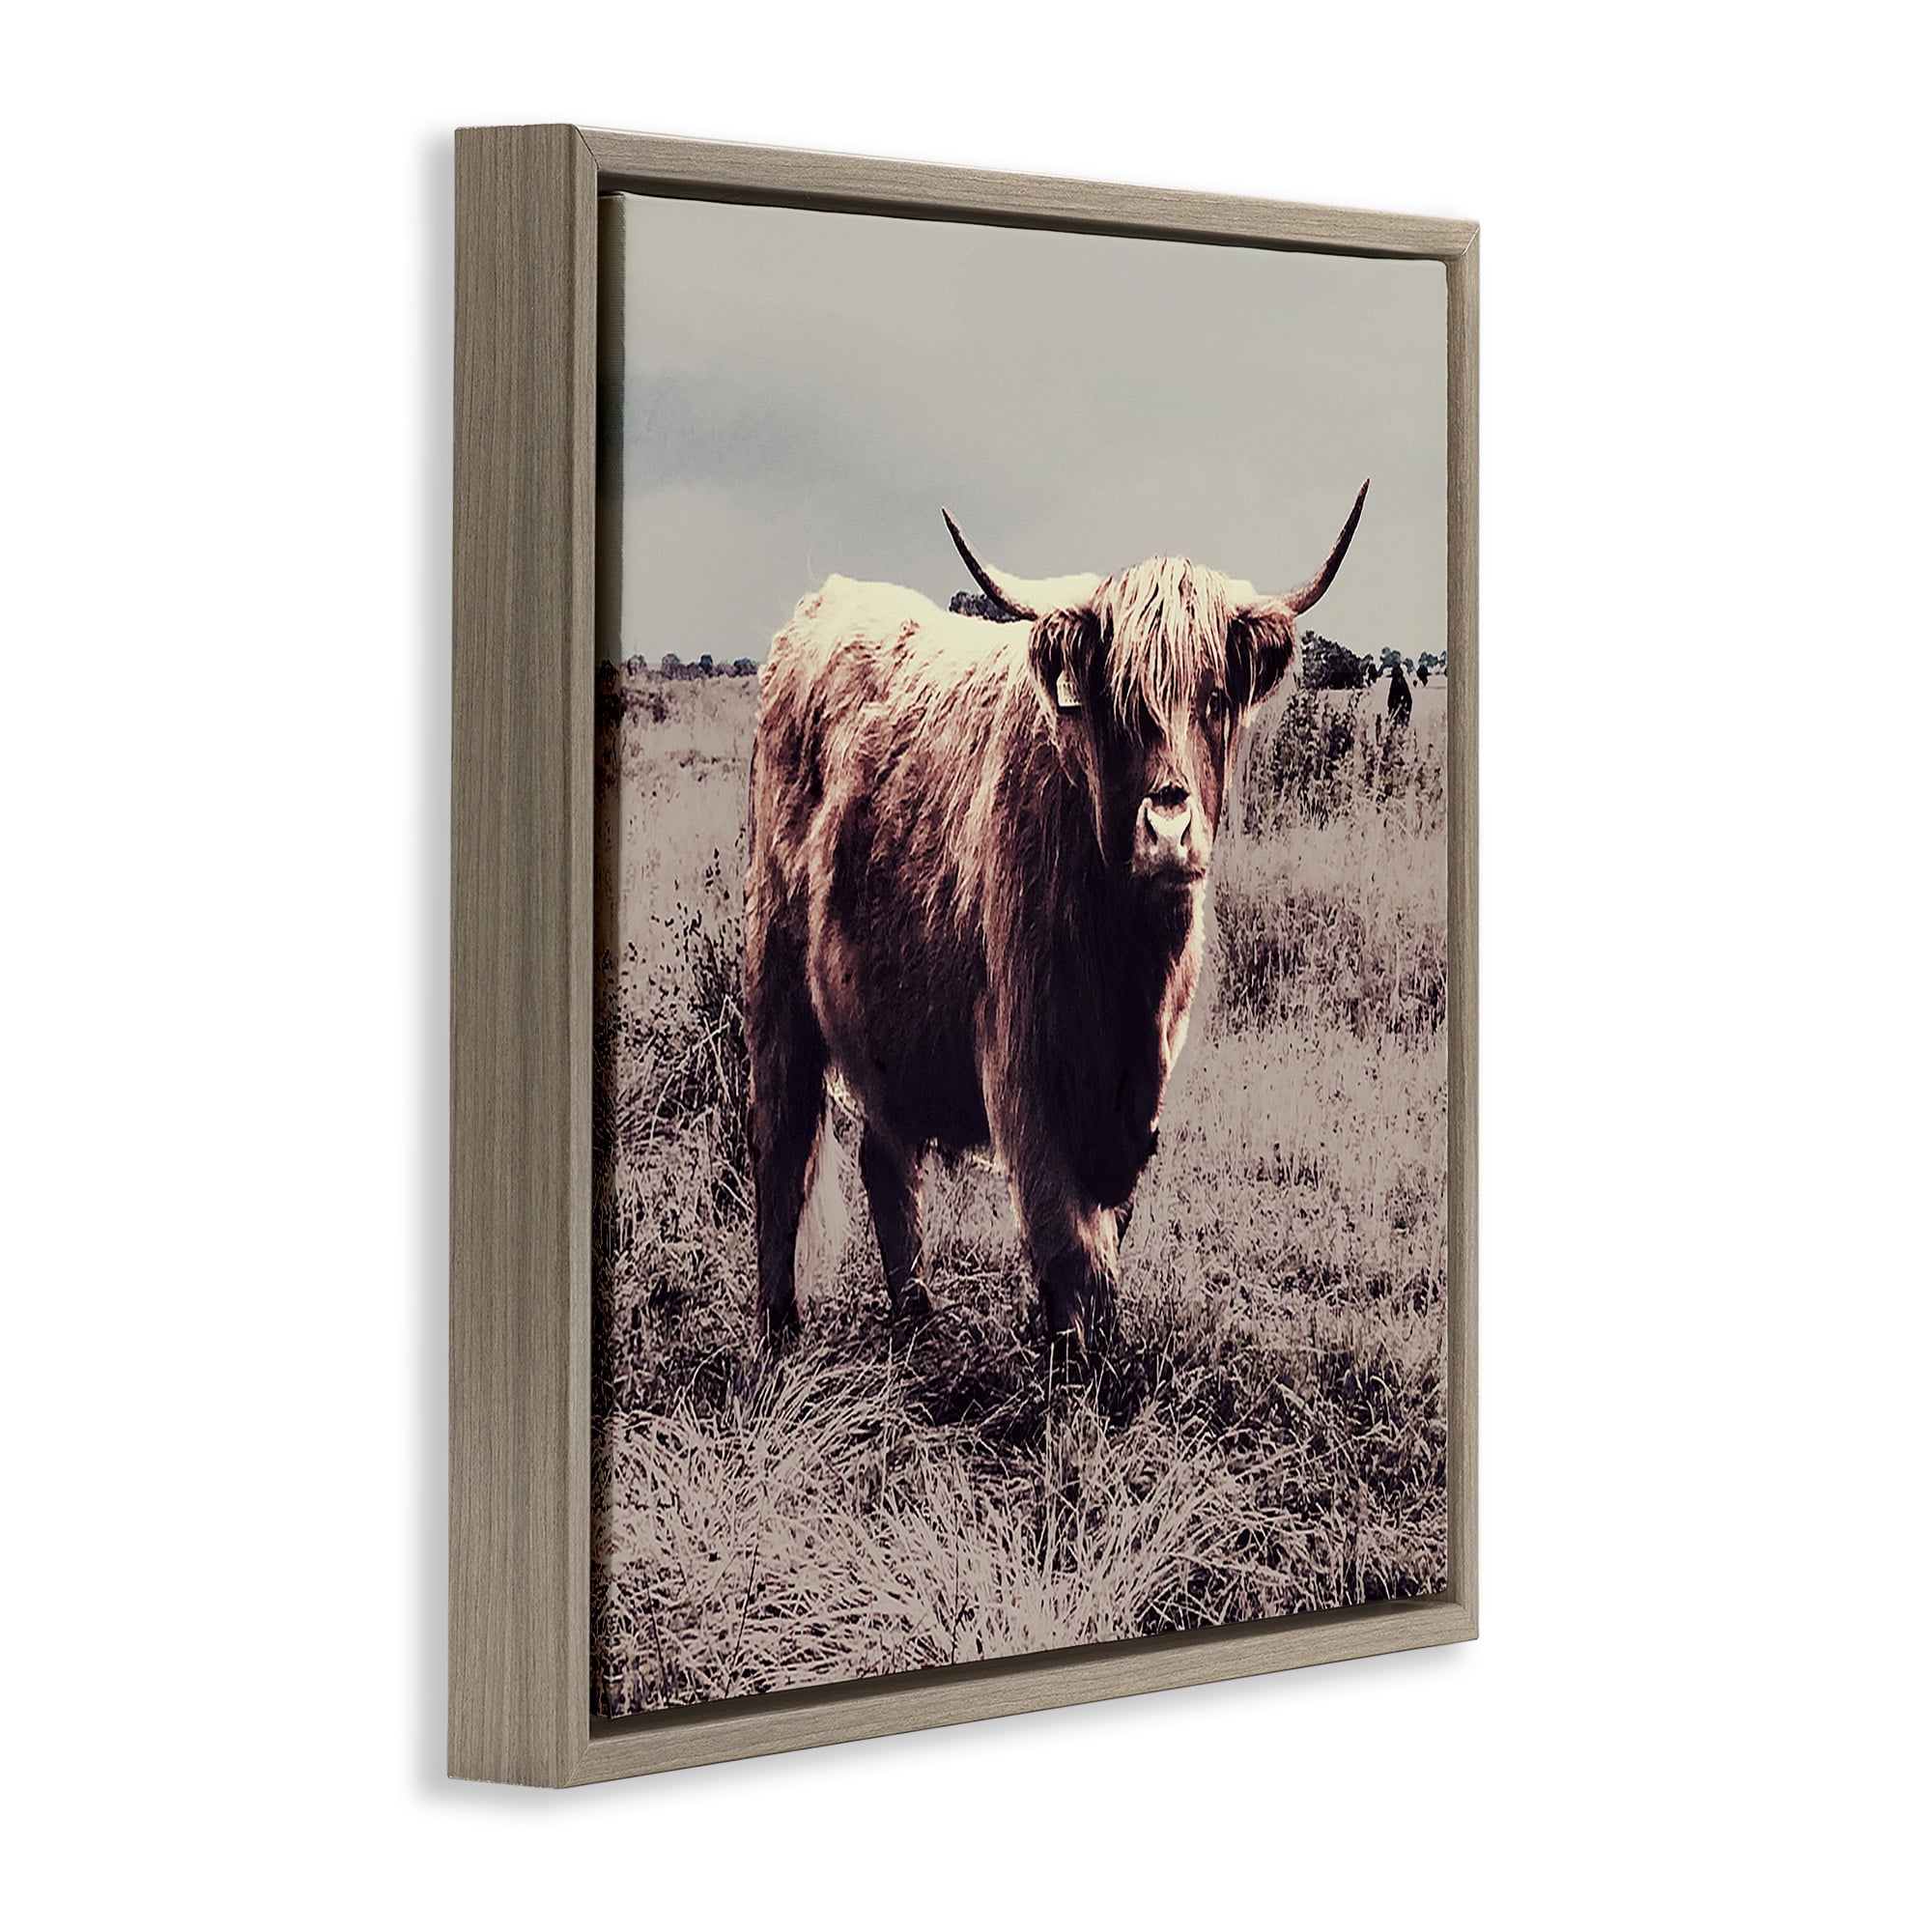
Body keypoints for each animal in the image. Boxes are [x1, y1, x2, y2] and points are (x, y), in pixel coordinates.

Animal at [743, 483, 1369, 1357]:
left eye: (1214, 698)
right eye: (1119, 704)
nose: (1169, 828)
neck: (1127, 964)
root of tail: (823, 602)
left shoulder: (1139, 1092)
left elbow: (1104, 1234)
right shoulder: (1021, 1060)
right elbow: (1068, 1244)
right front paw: (1075, 1365)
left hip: (883, 1016)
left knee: (883, 1155)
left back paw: (916, 1319)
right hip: (776, 981)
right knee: (781, 1148)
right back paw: (778, 1334)